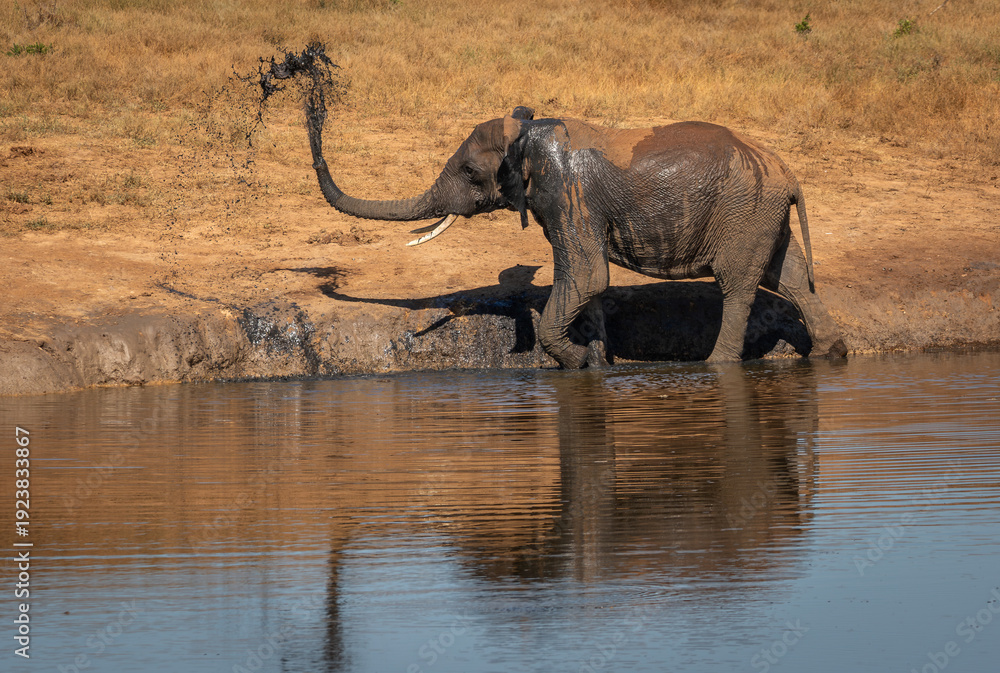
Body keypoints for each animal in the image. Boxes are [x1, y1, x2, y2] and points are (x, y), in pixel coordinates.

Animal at [306, 104, 847, 368]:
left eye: (469, 172)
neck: (528, 132)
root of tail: (790, 174)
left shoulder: (567, 193)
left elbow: (586, 277)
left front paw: (579, 361)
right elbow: (586, 285)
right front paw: (598, 359)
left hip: (743, 212)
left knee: (738, 286)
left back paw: (717, 367)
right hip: (761, 214)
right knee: (792, 278)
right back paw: (832, 353)